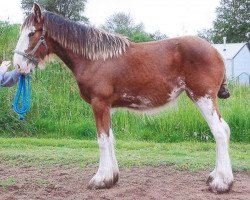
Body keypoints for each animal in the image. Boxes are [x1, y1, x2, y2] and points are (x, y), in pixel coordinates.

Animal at [13, 3, 233, 193]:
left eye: (31, 33)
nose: (18, 65)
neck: (93, 59)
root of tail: (216, 52)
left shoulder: (99, 104)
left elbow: (102, 140)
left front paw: (100, 179)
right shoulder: (106, 106)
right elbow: (110, 139)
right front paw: (111, 178)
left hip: (203, 97)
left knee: (220, 131)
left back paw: (221, 183)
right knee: (223, 130)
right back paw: (215, 177)